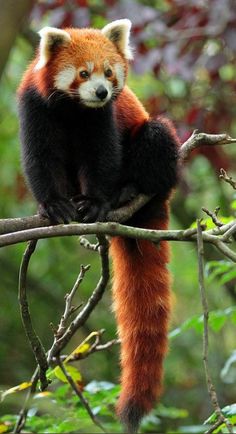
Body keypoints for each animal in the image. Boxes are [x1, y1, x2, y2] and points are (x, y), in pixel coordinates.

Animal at [18, 19, 180, 434]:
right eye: (83, 73)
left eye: (109, 72)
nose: (102, 91)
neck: (76, 109)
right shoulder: (36, 109)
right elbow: (41, 159)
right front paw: (53, 205)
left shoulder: (102, 120)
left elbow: (101, 159)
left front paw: (95, 202)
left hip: (157, 146)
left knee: (156, 136)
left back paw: (130, 190)